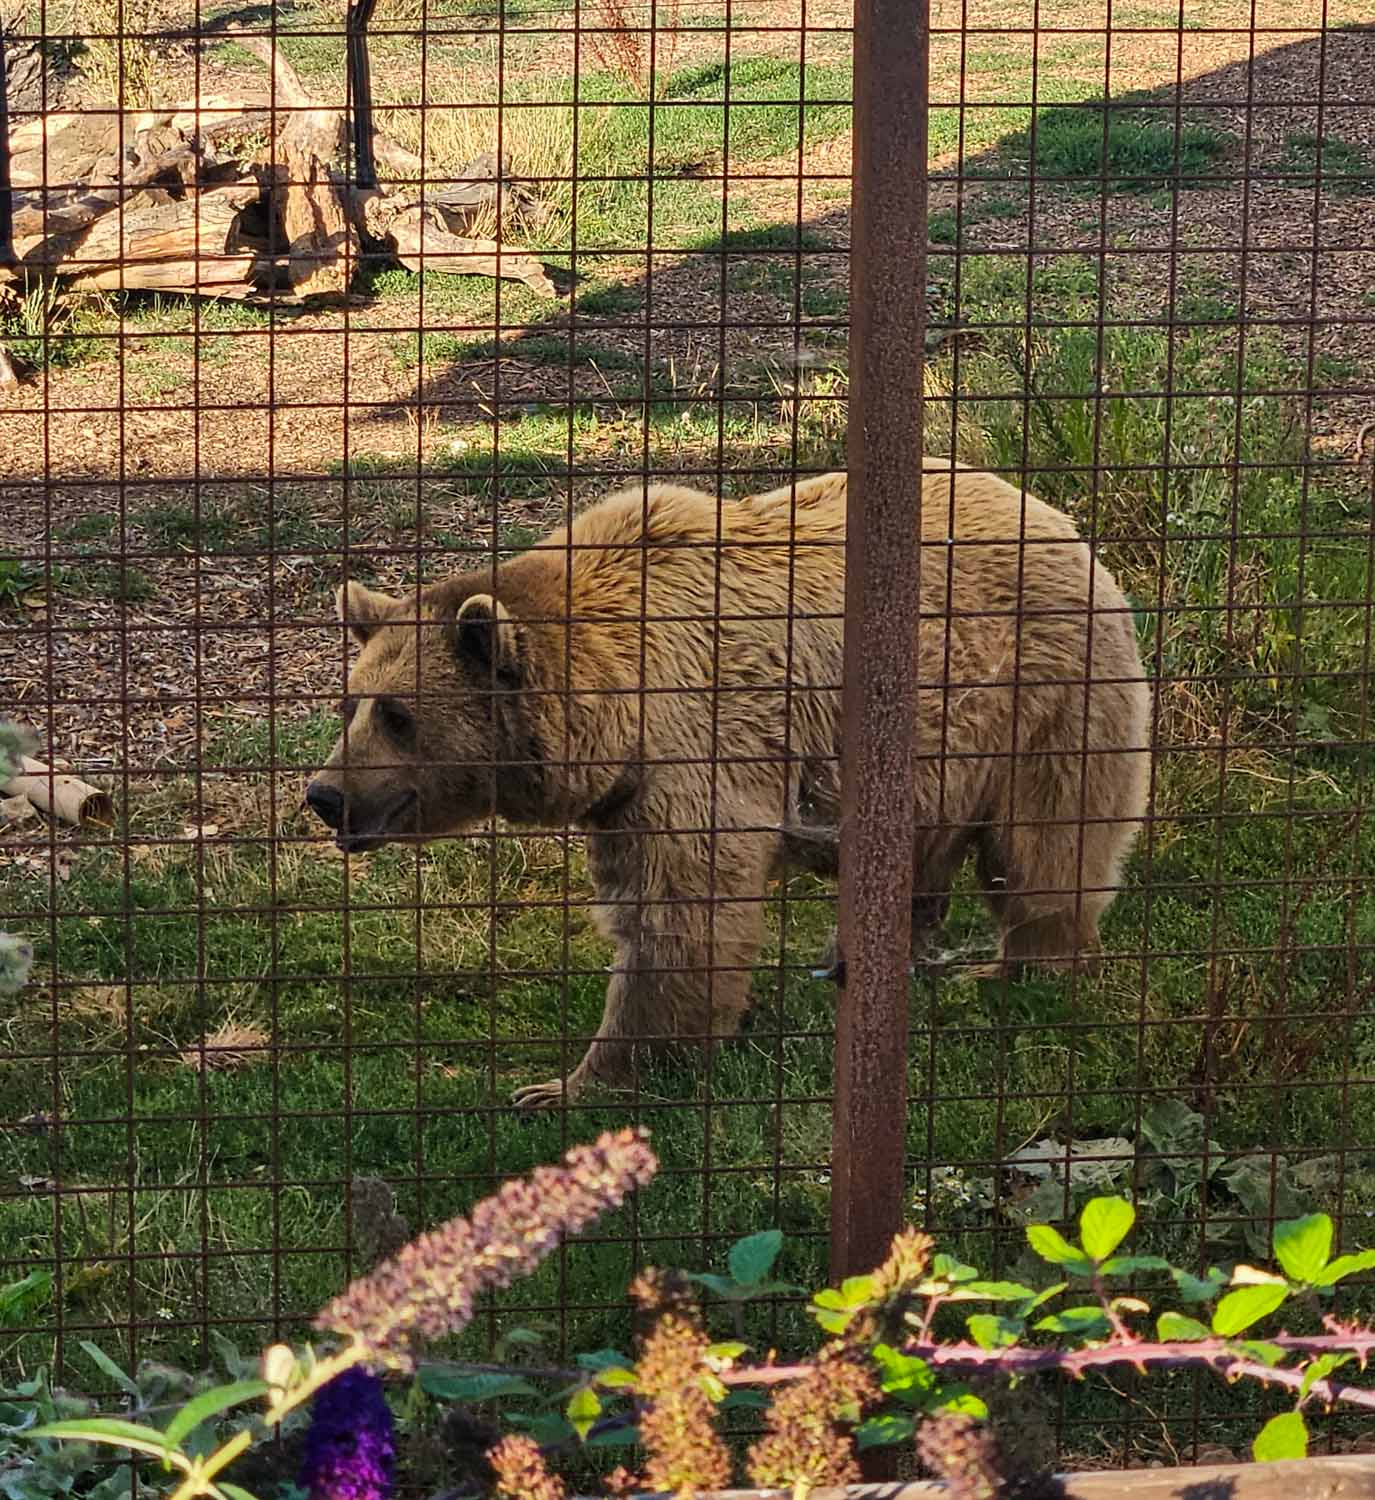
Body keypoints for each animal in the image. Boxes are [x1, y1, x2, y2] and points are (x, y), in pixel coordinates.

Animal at [305, 459, 1151, 1108]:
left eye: (399, 716)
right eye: (350, 702)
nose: (325, 794)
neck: (612, 702)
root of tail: (1052, 514)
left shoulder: (692, 754)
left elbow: (675, 920)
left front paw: (572, 1083)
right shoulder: (624, 796)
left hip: (1037, 692)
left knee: (1044, 844)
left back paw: (1022, 967)